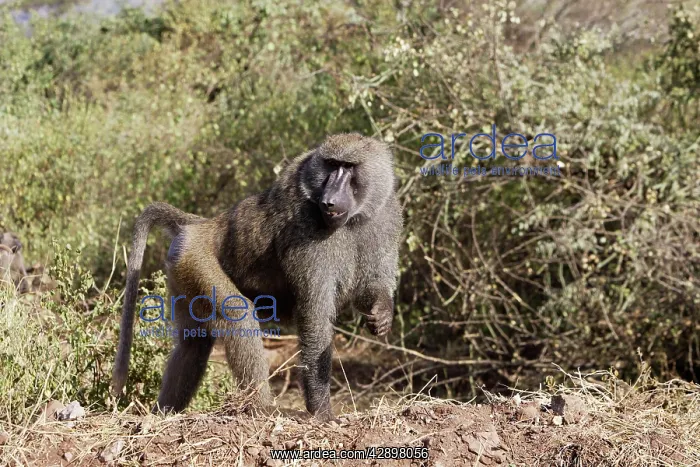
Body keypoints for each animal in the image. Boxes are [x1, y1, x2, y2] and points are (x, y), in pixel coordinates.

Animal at [111, 133, 403, 421]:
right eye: (331, 165)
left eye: (348, 167)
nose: (329, 201)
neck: (354, 219)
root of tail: (202, 225)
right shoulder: (306, 230)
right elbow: (315, 316)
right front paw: (322, 411)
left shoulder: (387, 216)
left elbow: (371, 284)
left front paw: (382, 313)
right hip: (194, 259)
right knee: (237, 315)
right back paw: (261, 407)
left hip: (182, 269)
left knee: (193, 344)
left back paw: (163, 413)